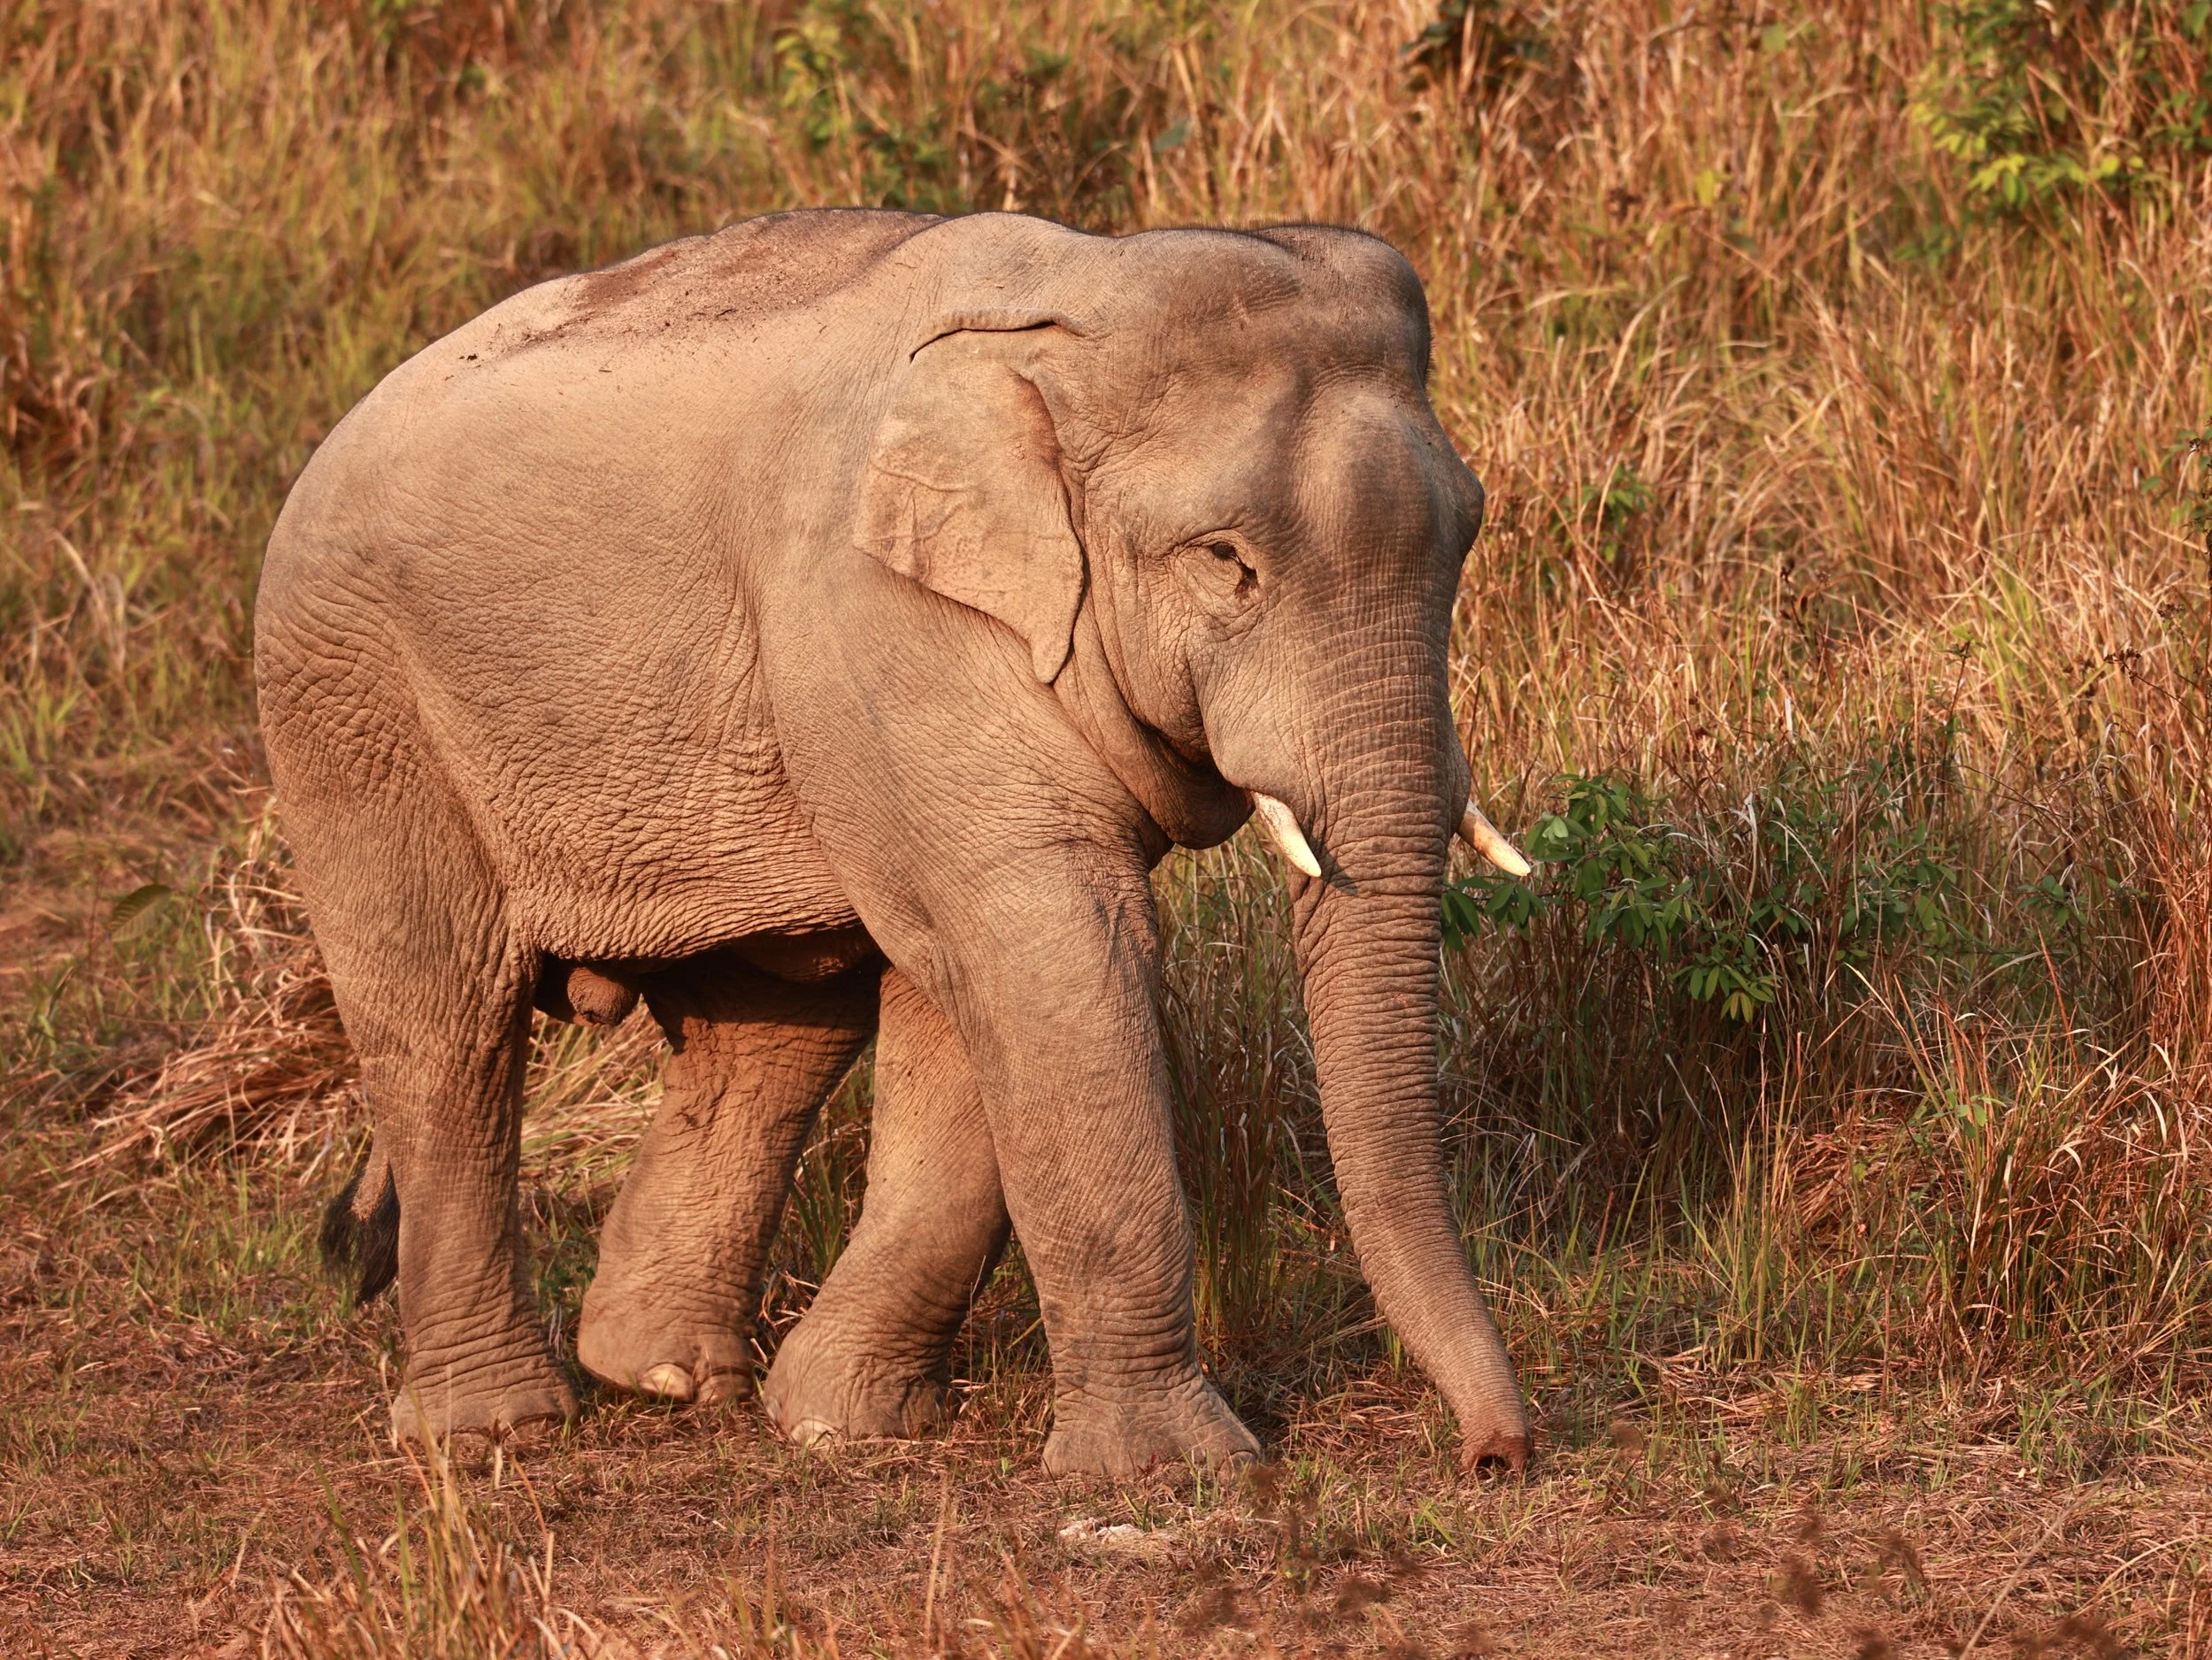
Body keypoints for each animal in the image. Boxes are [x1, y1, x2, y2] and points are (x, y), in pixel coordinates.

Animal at [260, 207, 1535, 1475]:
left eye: (1467, 538)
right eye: (1226, 561)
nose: (1495, 1456)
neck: (1076, 294)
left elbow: (972, 987)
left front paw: (840, 1422)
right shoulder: (888, 620)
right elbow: (1051, 951)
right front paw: (1174, 1472)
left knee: (773, 1024)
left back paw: (663, 1375)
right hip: (354, 706)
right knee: (445, 1024)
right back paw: (494, 1431)